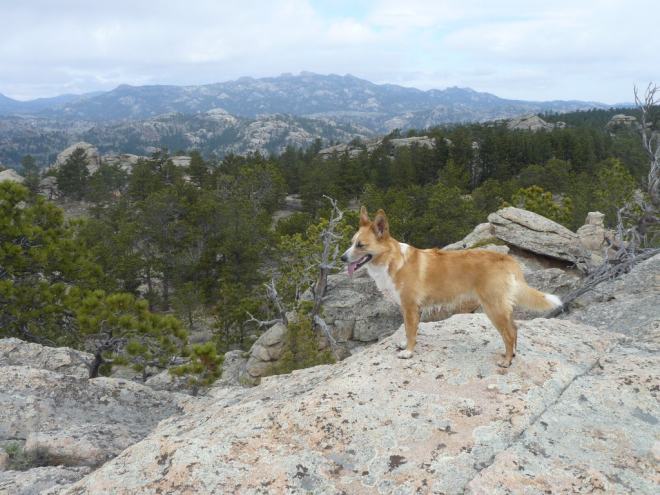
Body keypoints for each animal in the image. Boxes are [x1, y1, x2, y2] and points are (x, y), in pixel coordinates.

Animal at [340, 206, 564, 368]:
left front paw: (409, 352)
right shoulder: (409, 309)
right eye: (351, 242)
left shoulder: (410, 307)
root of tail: (507, 259)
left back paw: (506, 361)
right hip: (502, 307)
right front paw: (405, 345)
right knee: (515, 329)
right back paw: (513, 354)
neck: (392, 260)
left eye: (360, 245)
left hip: (493, 308)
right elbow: (407, 330)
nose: (342, 258)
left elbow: (410, 331)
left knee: (508, 334)